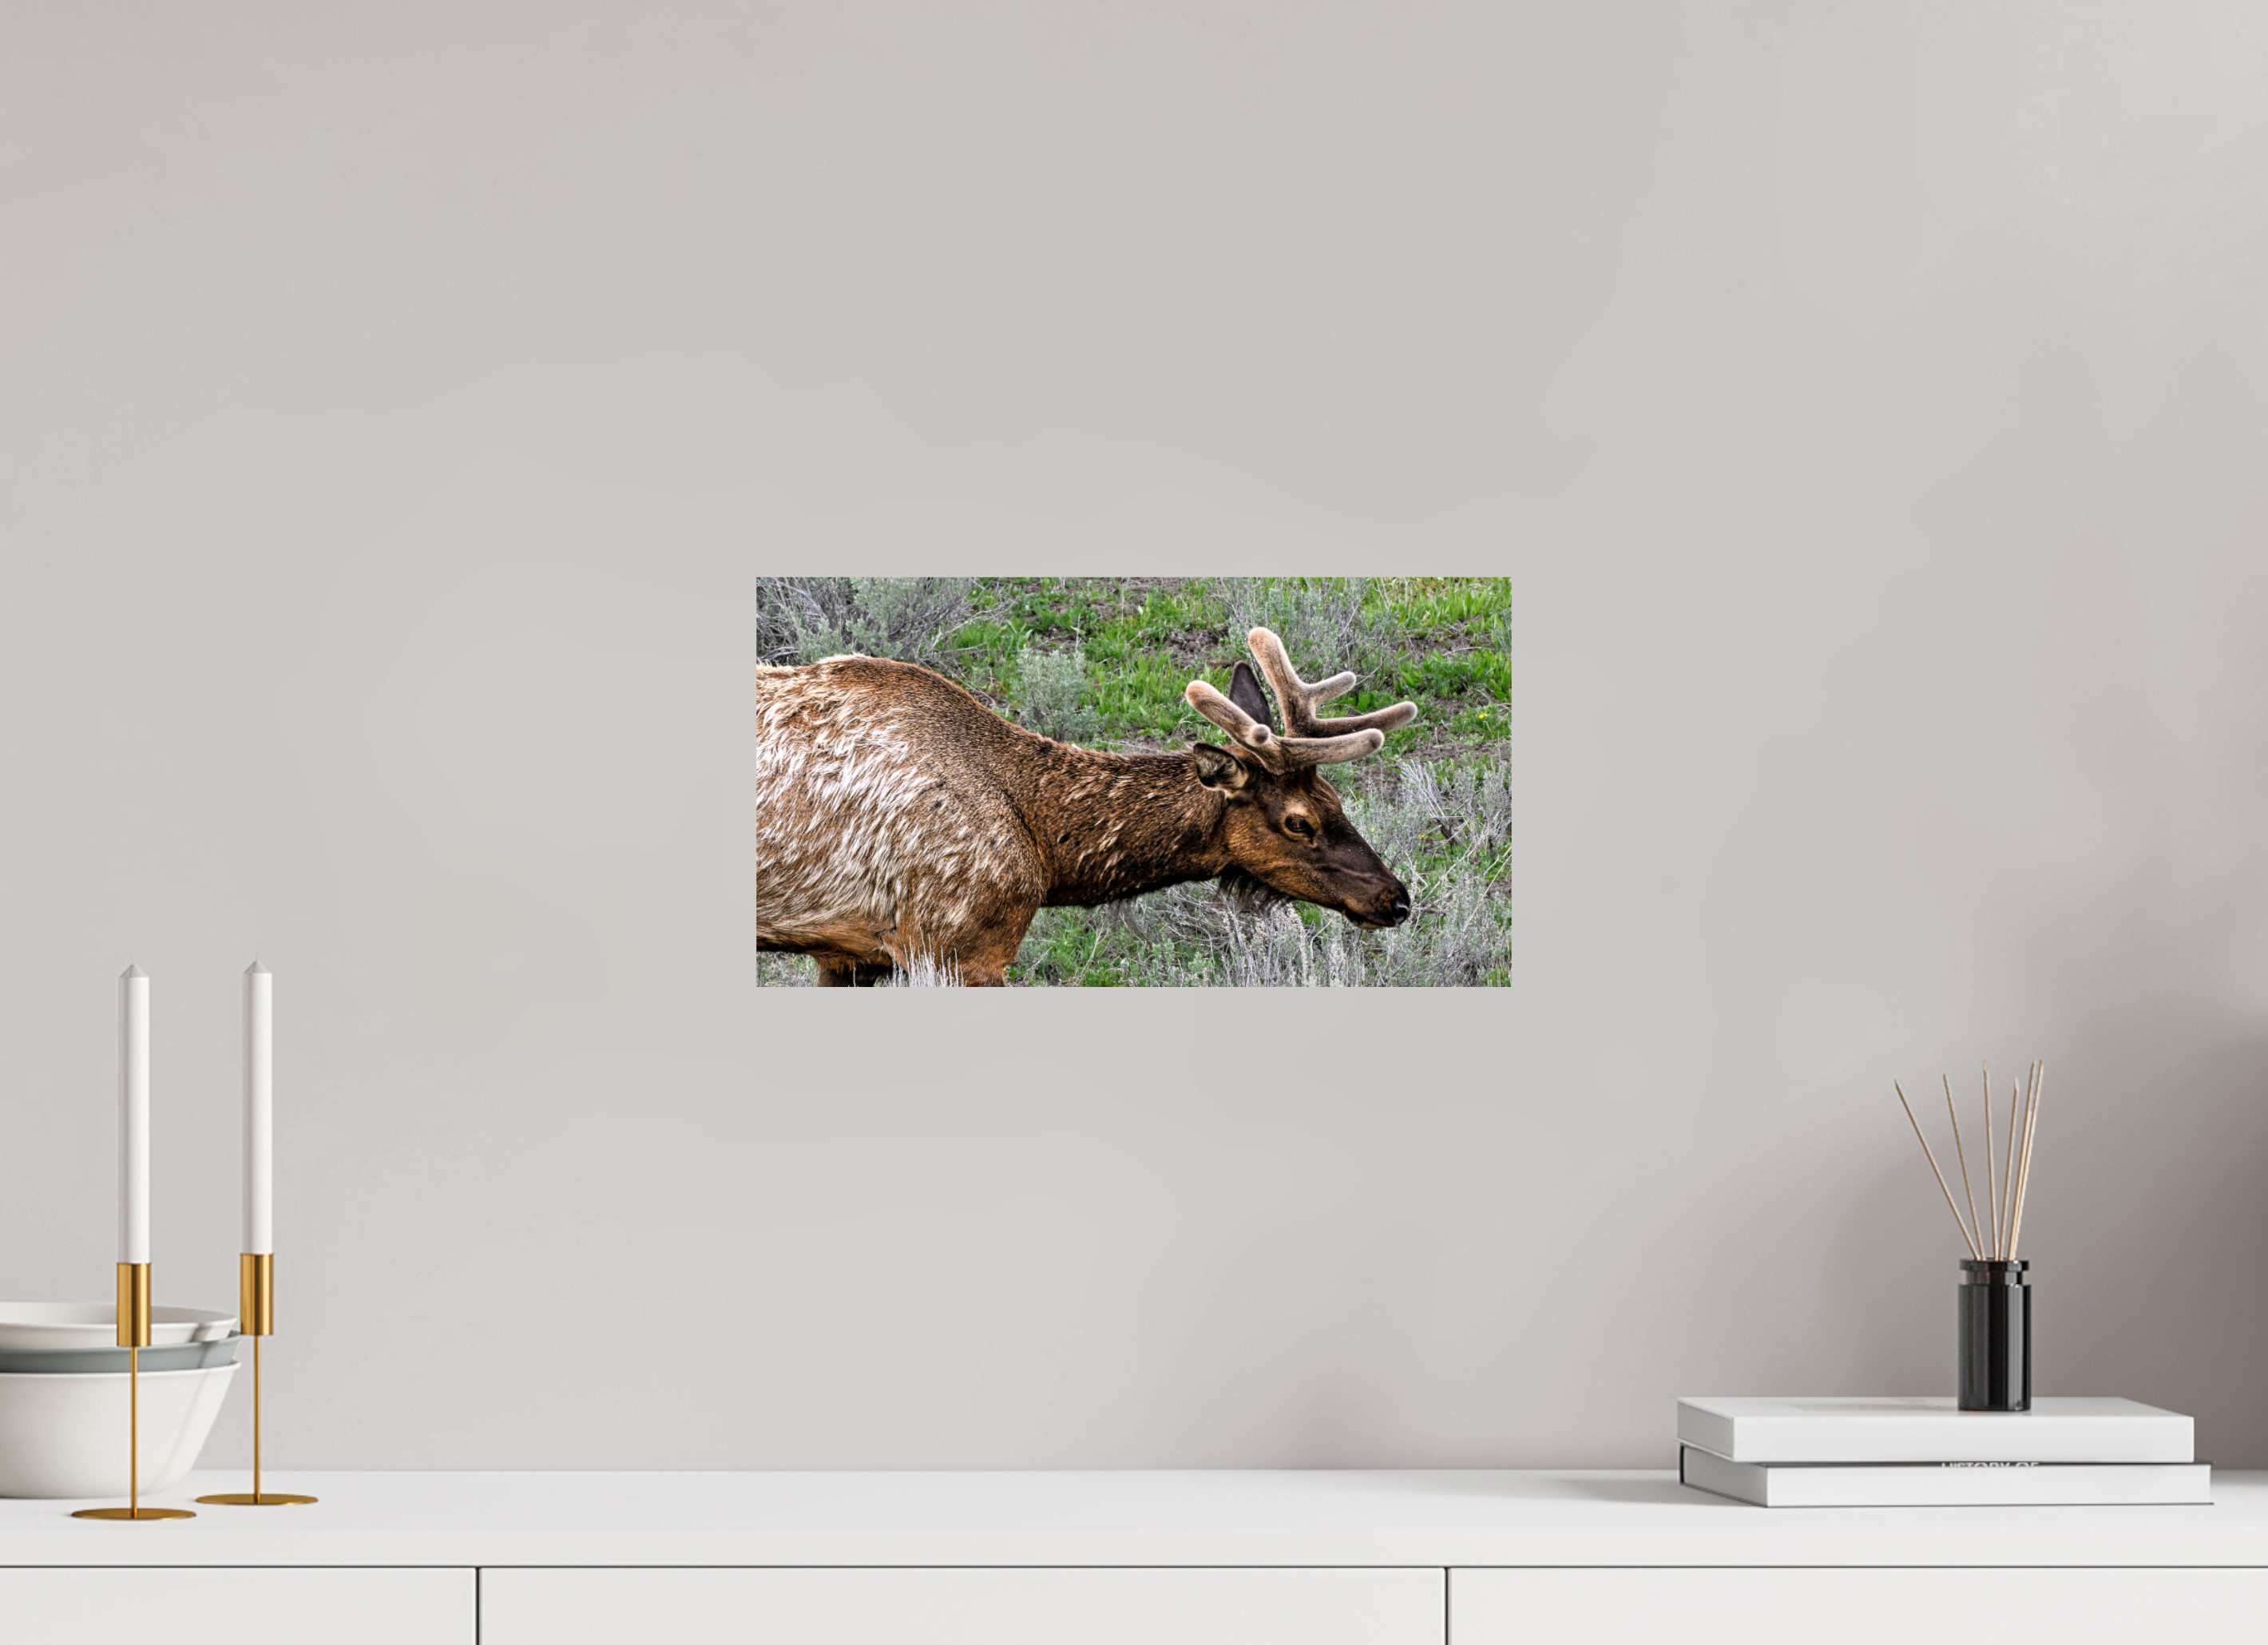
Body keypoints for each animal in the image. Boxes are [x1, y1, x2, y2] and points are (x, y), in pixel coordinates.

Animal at [755, 626, 1417, 986]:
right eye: (1299, 822)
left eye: (1336, 799)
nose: (1397, 899)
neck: (1049, 856)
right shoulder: (956, 945)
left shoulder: (853, 953)